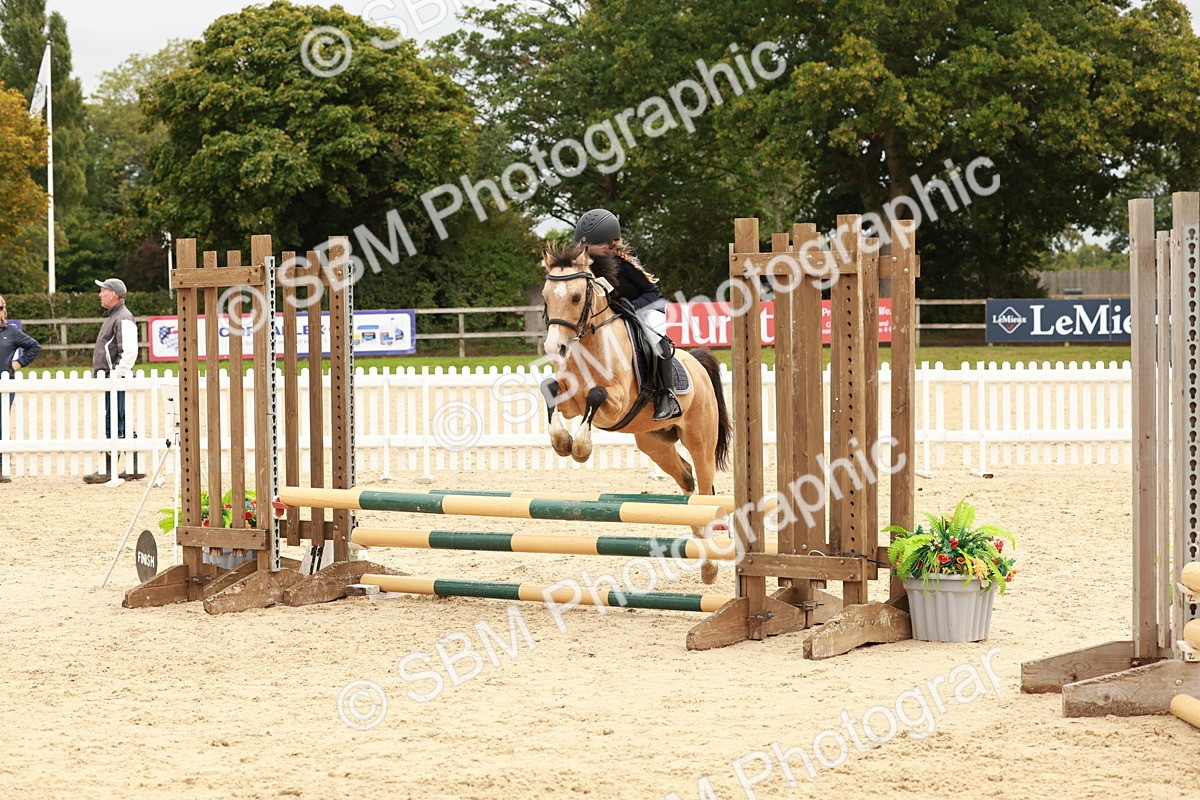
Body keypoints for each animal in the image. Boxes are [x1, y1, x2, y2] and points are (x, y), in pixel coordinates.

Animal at [538, 242, 732, 583]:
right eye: (546, 296)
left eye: (576, 297)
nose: (554, 348)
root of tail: (696, 363)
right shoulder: (571, 403)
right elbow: (549, 388)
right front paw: (562, 442)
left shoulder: (616, 403)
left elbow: (596, 394)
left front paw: (581, 448)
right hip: (654, 443)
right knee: (687, 479)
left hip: (700, 440)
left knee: (705, 489)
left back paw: (709, 567)